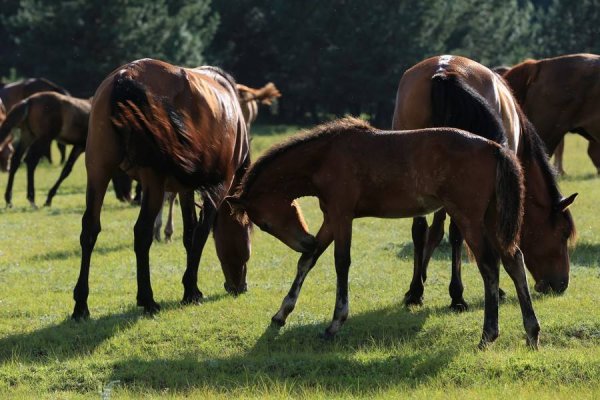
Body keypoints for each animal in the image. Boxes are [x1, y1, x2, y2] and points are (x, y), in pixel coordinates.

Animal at [72, 59, 251, 320]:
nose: (241, 286)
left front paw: (191, 287)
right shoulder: (219, 186)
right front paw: (190, 290)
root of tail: (127, 74)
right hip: (152, 182)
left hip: (98, 169)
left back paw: (81, 305)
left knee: (90, 230)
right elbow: (201, 233)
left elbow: (189, 234)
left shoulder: (185, 188)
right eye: (247, 232)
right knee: (142, 232)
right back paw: (148, 300)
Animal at [226, 117, 540, 348]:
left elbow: (341, 263)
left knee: (489, 266)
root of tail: (494, 148)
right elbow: (308, 261)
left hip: (468, 218)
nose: (304, 241)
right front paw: (281, 314)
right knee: (514, 261)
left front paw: (335, 323)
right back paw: (532, 332)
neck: (325, 156)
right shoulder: (331, 218)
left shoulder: (342, 216)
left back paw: (488, 334)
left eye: (263, 224)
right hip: (491, 218)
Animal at [392, 54, 580, 310]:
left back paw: (415, 291)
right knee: (456, 232)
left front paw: (421, 279)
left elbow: (436, 231)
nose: (562, 284)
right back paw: (456, 295)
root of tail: (443, 71)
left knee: (420, 229)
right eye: (562, 233)